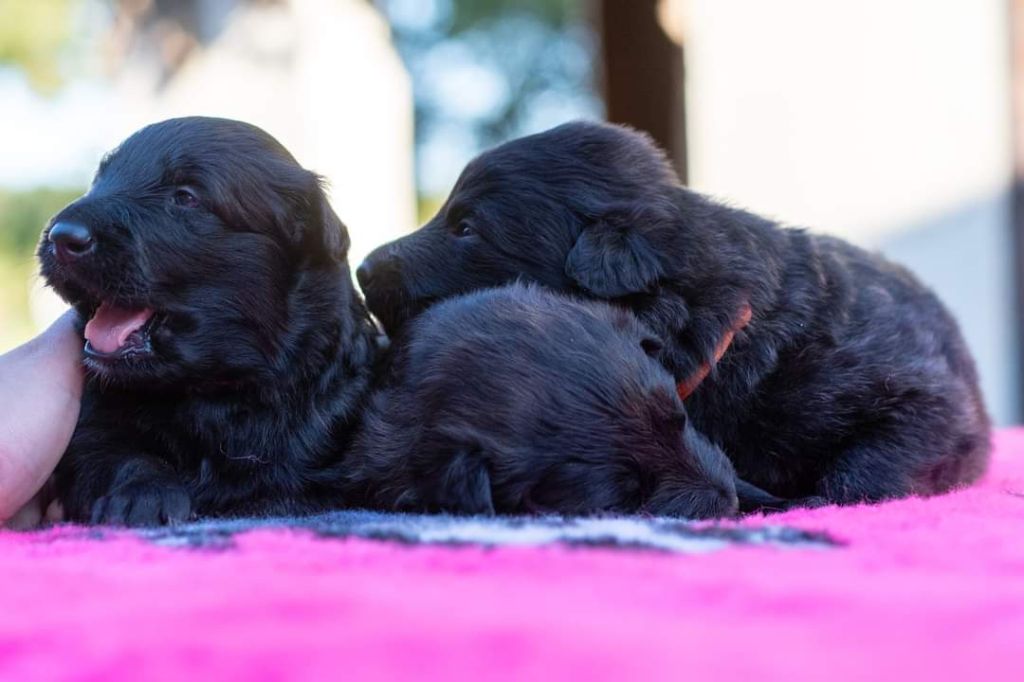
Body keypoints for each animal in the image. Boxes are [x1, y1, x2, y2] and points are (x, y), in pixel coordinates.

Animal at [37, 116, 380, 522]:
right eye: (100, 180)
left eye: (186, 196)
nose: (61, 236)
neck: (211, 391)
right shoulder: (93, 419)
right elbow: (110, 451)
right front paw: (144, 493)